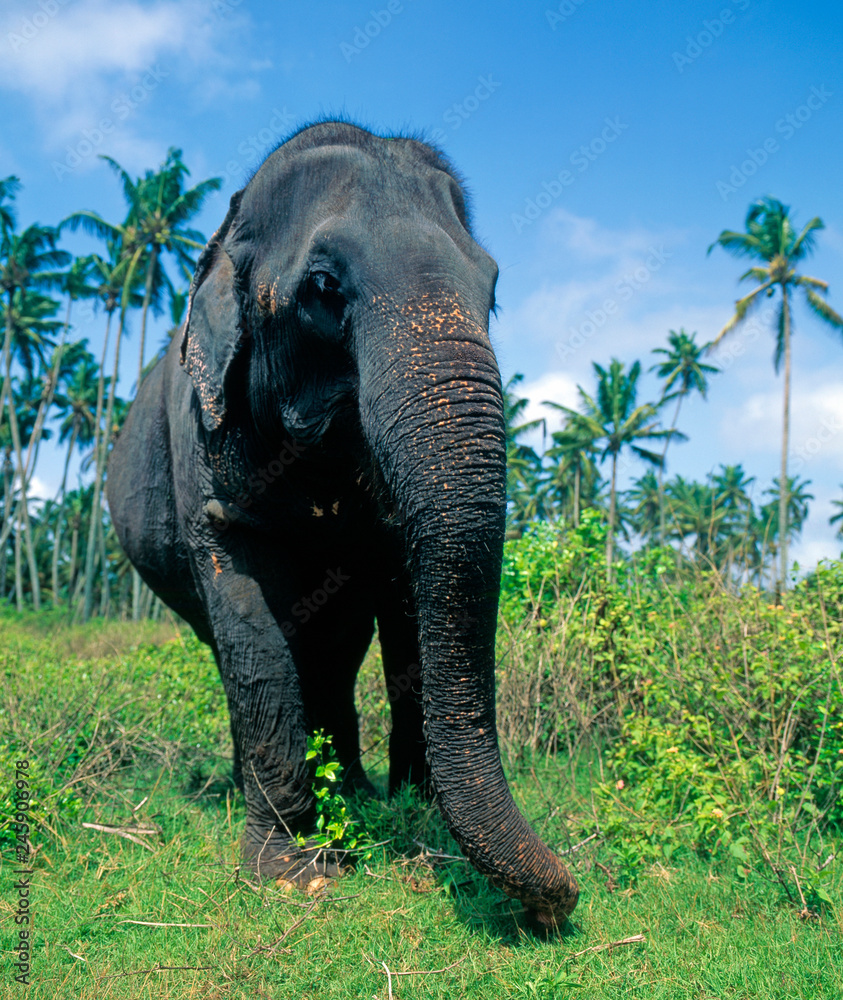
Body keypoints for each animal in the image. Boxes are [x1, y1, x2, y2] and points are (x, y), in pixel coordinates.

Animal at [107, 121, 579, 927]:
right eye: (324, 289)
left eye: (491, 287)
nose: (562, 900)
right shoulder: (203, 445)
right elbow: (251, 629)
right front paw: (292, 872)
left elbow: (407, 615)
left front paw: (415, 822)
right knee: (240, 653)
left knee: (334, 652)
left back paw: (349, 789)